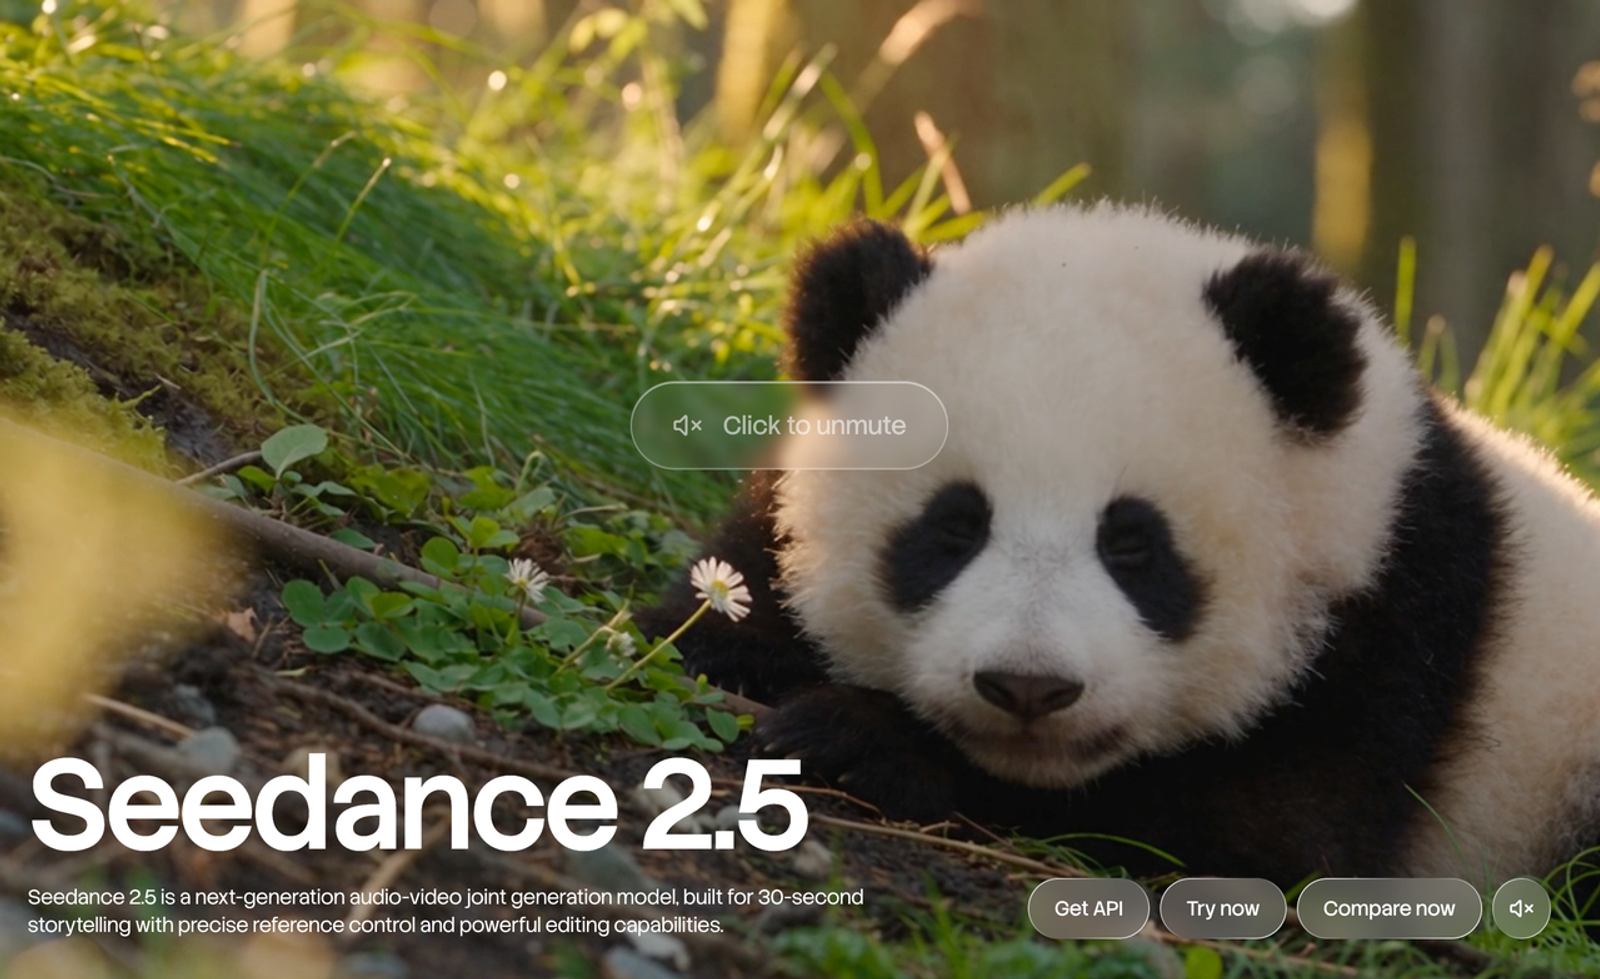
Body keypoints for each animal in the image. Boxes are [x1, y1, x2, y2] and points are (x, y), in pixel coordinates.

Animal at [647, 202, 1600, 889]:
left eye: (1133, 544)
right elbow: (714, 617)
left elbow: (1254, 835)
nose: (1027, 686)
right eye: (955, 525)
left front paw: (865, 738)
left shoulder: (1395, 626)